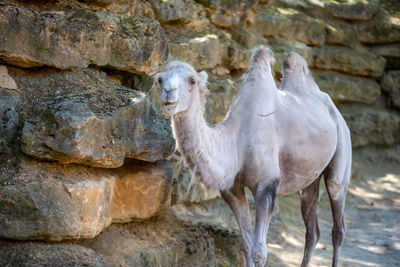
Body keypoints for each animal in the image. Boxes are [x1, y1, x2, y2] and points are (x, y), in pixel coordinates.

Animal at [156, 47, 350, 266]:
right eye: (160, 79)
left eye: (192, 81)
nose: (168, 93)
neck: (235, 141)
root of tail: (333, 108)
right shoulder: (232, 189)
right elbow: (247, 245)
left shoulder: (266, 186)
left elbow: (259, 251)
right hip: (309, 179)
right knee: (312, 230)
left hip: (342, 151)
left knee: (338, 224)